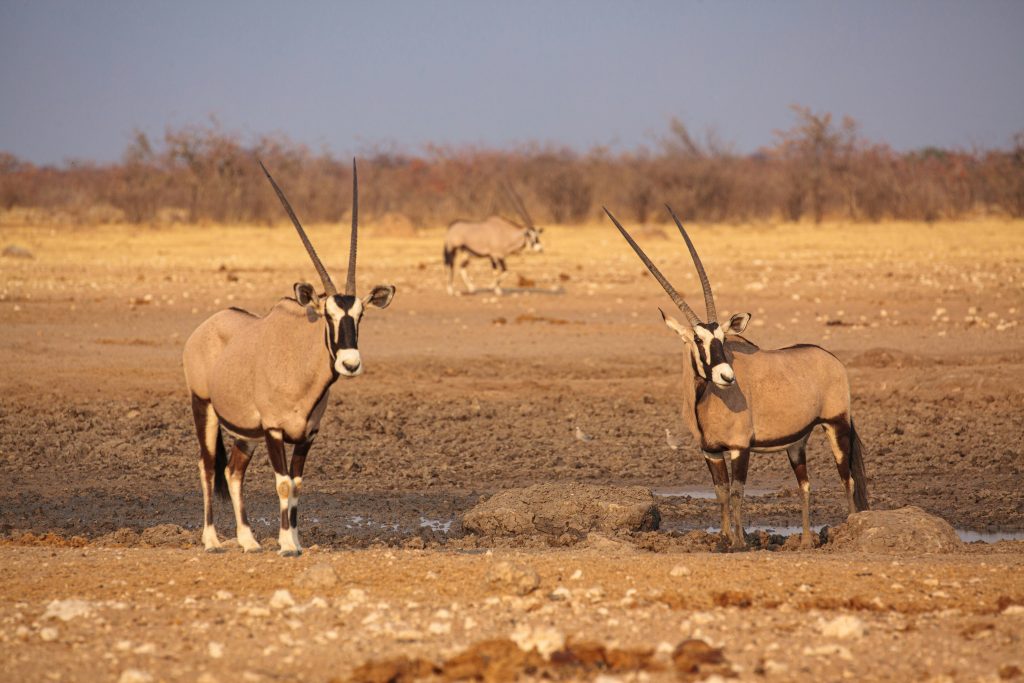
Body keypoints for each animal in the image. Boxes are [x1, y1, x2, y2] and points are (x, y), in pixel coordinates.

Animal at [182, 160, 393, 557]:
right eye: (327, 315)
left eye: (360, 315)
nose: (350, 364)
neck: (300, 366)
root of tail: (205, 327)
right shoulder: (275, 430)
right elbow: (282, 484)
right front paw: (285, 545)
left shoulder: (307, 434)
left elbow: (296, 485)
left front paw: (295, 539)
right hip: (204, 407)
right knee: (207, 466)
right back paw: (212, 540)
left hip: (245, 432)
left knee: (233, 471)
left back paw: (248, 540)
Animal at [602, 204, 868, 548]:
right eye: (698, 340)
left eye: (722, 339)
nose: (727, 376)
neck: (704, 401)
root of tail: (832, 359)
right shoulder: (712, 452)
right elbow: (722, 493)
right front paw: (725, 538)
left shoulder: (741, 447)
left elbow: (739, 492)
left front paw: (740, 542)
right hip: (797, 442)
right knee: (805, 484)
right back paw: (806, 540)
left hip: (836, 426)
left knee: (847, 478)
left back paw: (850, 527)